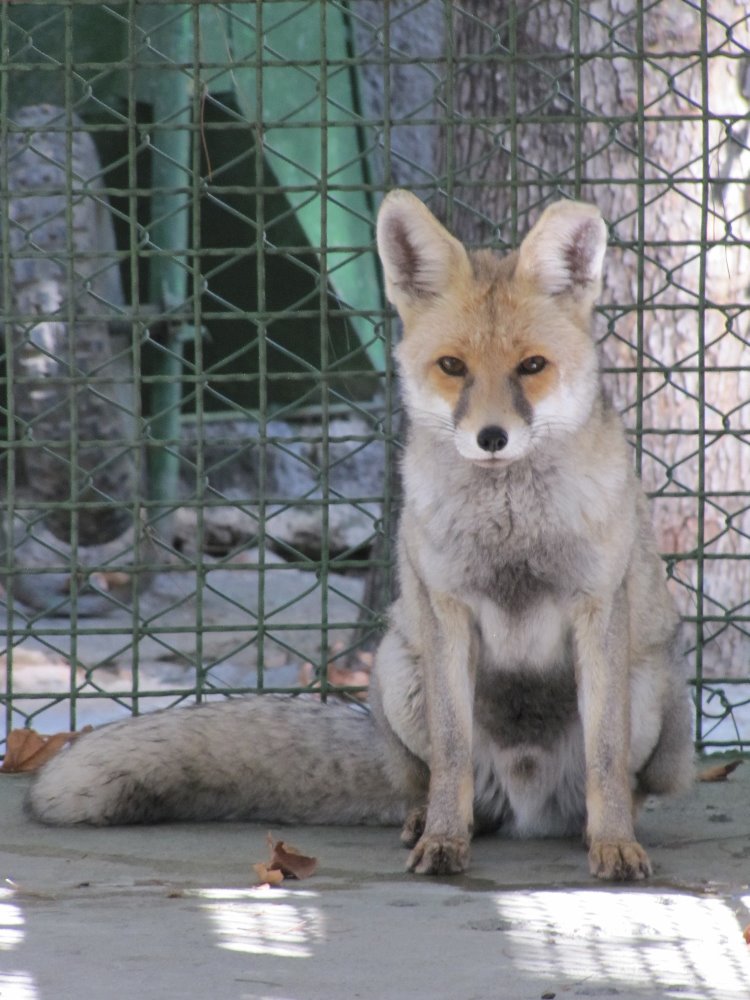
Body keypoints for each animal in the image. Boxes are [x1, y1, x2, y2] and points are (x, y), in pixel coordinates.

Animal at [27, 191, 694, 881]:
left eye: (532, 366)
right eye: (452, 367)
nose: (491, 438)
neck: (510, 531)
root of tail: (528, 806)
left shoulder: (598, 609)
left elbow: (606, 761)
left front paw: (613, 843)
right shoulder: (447, 611)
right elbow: (451, 755)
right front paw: (444, 840)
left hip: (653, 695)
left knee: (626, 784)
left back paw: (595, 826)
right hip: (401, 673)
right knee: (433, 783)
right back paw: (430, 822)